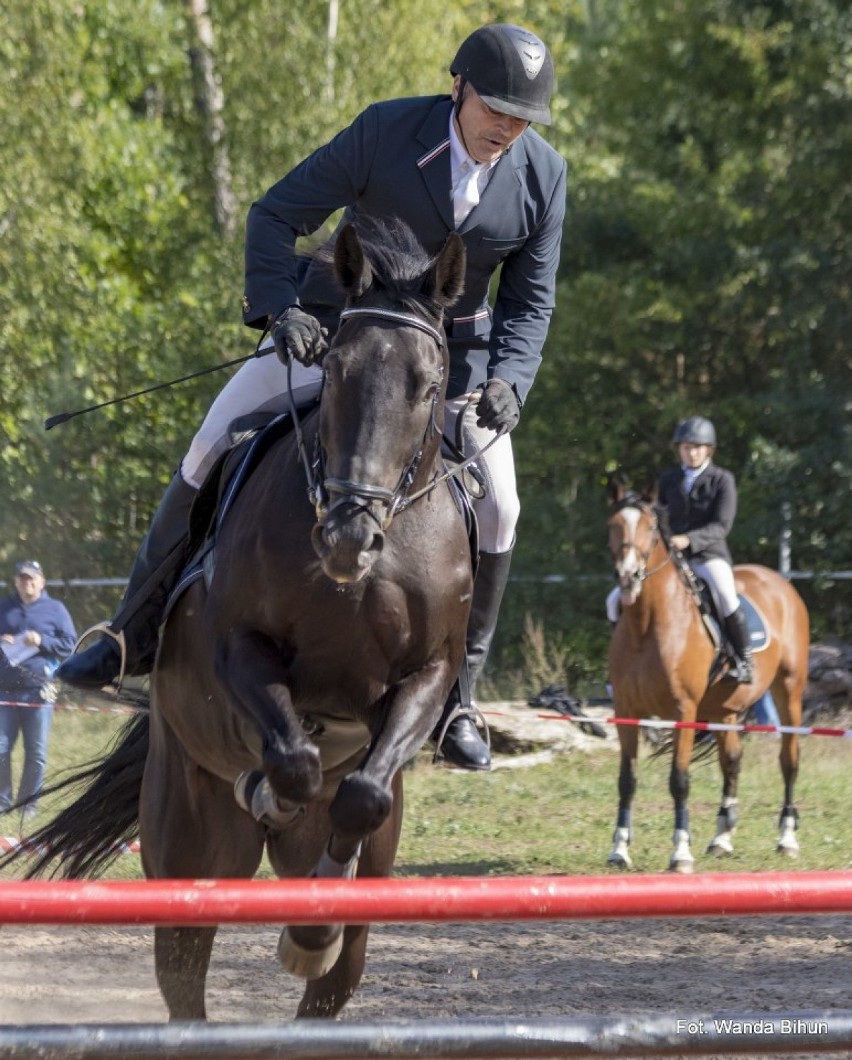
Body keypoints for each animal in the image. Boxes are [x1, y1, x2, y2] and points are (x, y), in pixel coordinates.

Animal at [6, 217, 472, 1017]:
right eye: (336, 370)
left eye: (430, 385)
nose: (348, 537)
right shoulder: (240, 648)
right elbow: (292, 758)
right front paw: (270, 786)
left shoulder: (428, 675)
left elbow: (362, 793)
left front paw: (310, 929)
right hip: (186, 847)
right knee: (185, 982)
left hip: (358, 901)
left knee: (332, 975)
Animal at [601, 479, 809, 869]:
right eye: (613, 525)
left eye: (650, 527)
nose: (628, 577)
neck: (645, 624)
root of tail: (777, 580)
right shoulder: (626, 711)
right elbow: (626, 780)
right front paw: (619, 849)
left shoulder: (683, 710)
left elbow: (679, 779)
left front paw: (681, 852)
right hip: (721, 708)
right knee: (732, 762)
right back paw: (722, 838)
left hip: (788, 689)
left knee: (789, 760)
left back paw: (787, 838)